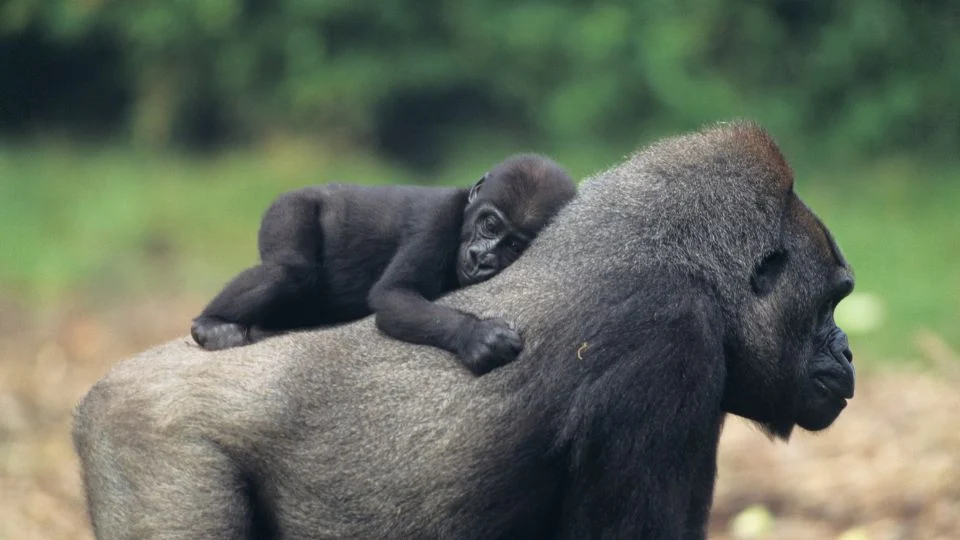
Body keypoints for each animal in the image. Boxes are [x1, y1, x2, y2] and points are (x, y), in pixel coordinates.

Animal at [190, 154, 576, 375]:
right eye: (491, 225)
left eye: (513, 245)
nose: (481, 258)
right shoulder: (436, 220)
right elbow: (394, 294)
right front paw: (477, 335)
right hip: (289, 205)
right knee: (288, 271)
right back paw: (210, 324)